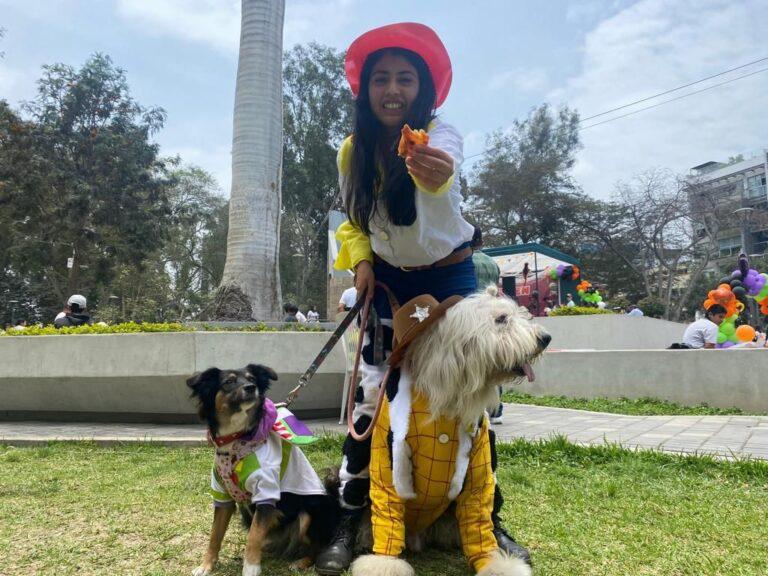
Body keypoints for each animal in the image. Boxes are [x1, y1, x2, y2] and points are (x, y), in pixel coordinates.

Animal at [186, 364, 340, 576]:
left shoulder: (266, 493)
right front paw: (206, 565)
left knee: (317, 548)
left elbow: (254, 535)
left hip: (308, 515)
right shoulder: (222, 495)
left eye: (252, 379)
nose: (251, 388)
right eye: (229, 381)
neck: (238, 440)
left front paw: (250, 568)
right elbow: (215, 535)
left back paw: (300, 562)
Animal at [352, 286, 548, 576]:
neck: (449, 395)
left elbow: (479, 520)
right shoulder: (388, 462)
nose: (545, 338)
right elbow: (388, 515)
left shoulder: (479, 469)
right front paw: (383, 564)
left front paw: (495, 563)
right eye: (501, 319)